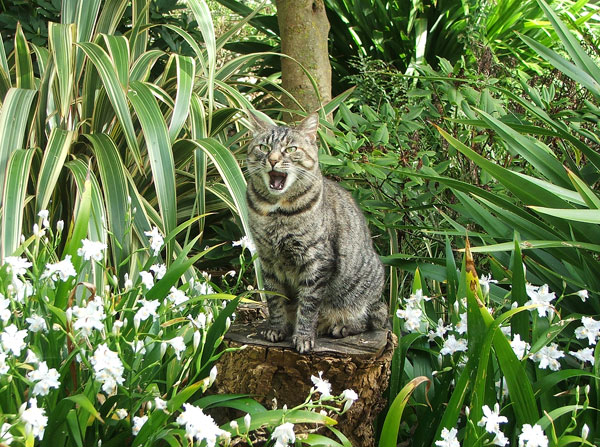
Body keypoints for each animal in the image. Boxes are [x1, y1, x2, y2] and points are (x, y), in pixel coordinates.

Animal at [245, 112, 390, 354]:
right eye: (264, 147)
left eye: (291, 149)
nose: (272, 159)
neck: (276, 211)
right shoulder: (267, 260)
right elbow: (275, 300)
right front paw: (277, 328)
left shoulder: (316, 261)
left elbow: (308, 306)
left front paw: (303, 337)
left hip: (362, 293)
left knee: (373, 318)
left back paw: (340, 327)